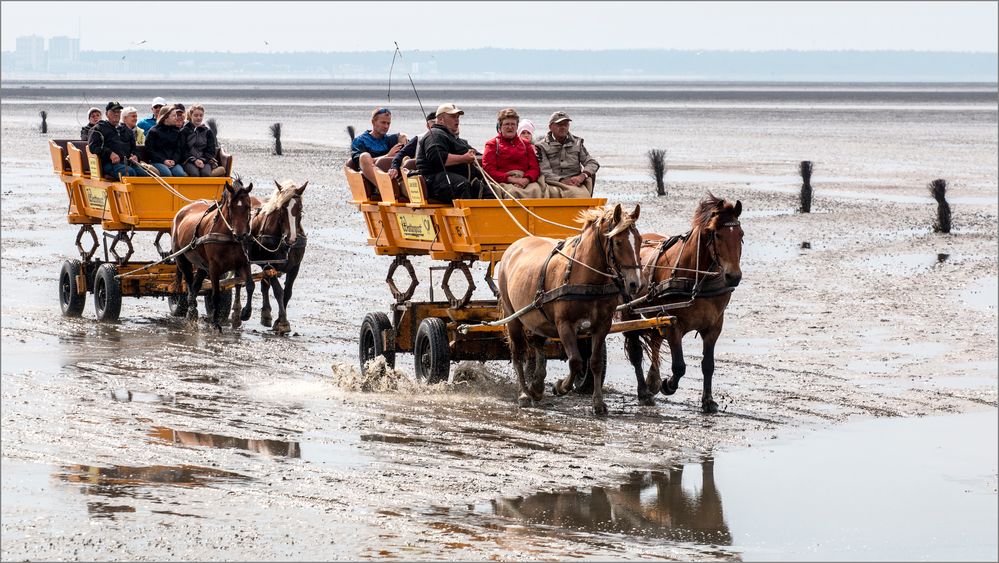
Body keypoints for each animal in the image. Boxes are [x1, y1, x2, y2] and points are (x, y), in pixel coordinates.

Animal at [170, 180, 254, 330]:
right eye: (230, 207)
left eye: (248, 206)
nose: (240, 235)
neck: (228, 236)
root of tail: (181, 212)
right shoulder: (214, 268)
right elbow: (215, 295)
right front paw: (215, 322)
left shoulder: (243, 263)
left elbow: (250, 286)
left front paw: (246, 312)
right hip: (182, 259)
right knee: (190, 284)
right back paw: (192, 311)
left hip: (202, 265)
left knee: (196, 286)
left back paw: (193, 309)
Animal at [245, 180, 306, 334]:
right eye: (282, 208)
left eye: (300, 209)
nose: (291, 239)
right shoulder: (270, 264)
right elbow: (278, 291)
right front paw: (283, 321)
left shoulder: (295, 267)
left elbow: (287, 292)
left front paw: (278, 319)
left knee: (263, 285)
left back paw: (266, 313)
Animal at [496, 205, 644, 416]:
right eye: (618, 241)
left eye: (640, 240)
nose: (635, 283)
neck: (586, 277)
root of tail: (514, 246)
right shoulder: (564, 324)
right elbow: (575, 360)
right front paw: (561, 386)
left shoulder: (602, 324)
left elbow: (595, 361)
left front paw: (598, 403)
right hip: (513, 317)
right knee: (519, 352)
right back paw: (524, 393)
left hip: (536, 317)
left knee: (537, 344)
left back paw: (537, 386)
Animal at [624, 194, 744, 414]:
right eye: (716, 234)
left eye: (740, 234)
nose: (734, 276)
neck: (696, 277)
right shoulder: (674, 325)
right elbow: (679, 366)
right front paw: (668, 385)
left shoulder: (714, 326)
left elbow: (708, 365)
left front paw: (708, 400)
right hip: (629, 314)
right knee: (636, 352)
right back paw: (644, 391)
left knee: (655, 341)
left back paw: (652, 381)